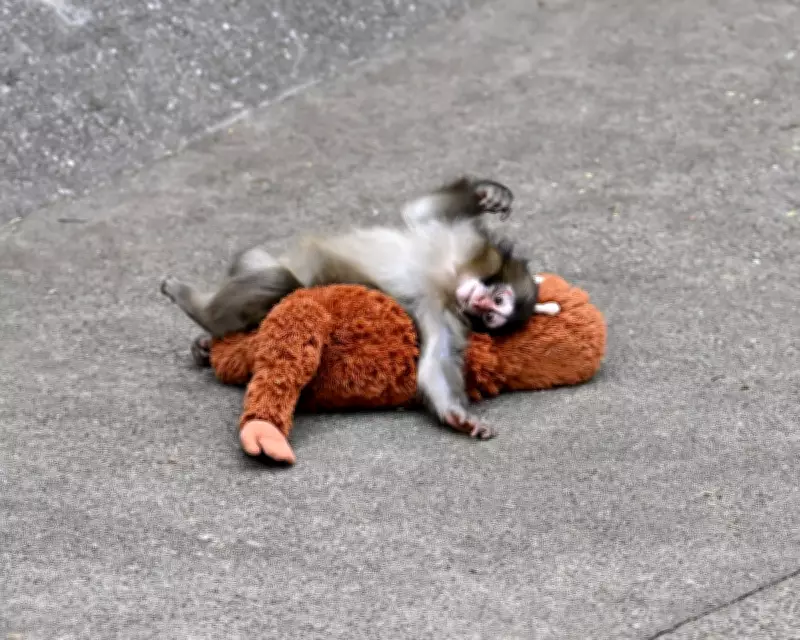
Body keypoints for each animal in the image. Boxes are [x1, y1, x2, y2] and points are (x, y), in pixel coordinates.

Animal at [161, 176, 559, 439]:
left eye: (492, 315)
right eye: (497, 300)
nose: (478, 303)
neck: (451, 279)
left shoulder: (444, 314)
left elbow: (434, 363)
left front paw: (457, 416)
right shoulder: (462, 242)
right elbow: (421, 211)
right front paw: (489, 193)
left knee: (280, 281)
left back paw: (201, 318)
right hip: (254, 260)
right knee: (273, 274)